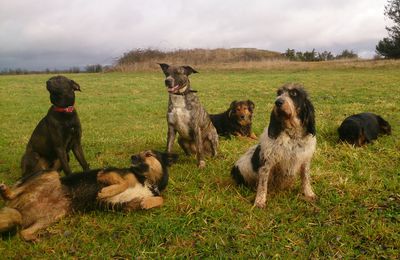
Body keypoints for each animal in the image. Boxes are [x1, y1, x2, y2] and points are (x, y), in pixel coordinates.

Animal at [0, 150, 177, 242]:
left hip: (55, 215)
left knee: (23, 233)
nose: (132, 157)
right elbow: (124, 184)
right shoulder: (106, 173)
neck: (147, 180)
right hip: (50, 173)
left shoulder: (129, 205)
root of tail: (19, 209)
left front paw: (148, 202)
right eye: (138, 154)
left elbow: (160, 198)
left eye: (148, 154)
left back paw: (40, 237)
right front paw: (105, 192)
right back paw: (6, 190)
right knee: (12, 193)